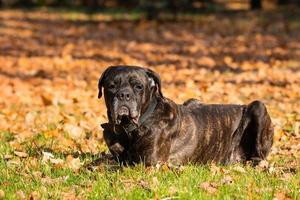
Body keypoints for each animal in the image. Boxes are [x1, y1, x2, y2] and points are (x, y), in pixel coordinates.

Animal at [98, 65, 274, 166]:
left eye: (138, 86)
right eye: (111, 86)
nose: (124, 95)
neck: (128, 129)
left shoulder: (149, 163)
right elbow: (103, 161)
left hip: (258, 106)